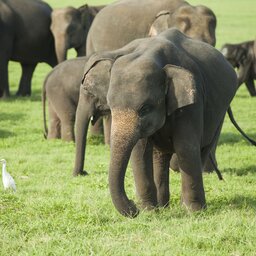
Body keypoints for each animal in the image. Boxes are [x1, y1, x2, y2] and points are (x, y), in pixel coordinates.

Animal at [80, 29, 238, 217]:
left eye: (145, 109)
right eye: (110, 106)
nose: (133, 206)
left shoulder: (194, 101)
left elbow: (185, 147)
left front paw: (194, 212)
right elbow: (140, 150)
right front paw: (149, 211)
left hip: (220, 112)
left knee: (203, 148)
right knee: (160, 156)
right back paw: (163, 206)